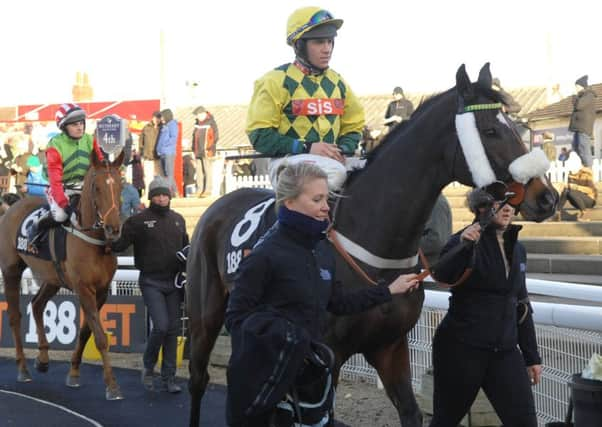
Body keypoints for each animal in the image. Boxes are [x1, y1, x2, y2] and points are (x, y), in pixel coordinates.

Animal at [0, 148, 123, 402]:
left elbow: (86, 331)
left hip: (52, 278)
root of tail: (14, 205)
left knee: (37, 304)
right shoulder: (84, 288)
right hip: (11, 270)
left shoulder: (102, 291)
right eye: (96, 187)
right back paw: (23, 369)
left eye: (120, 185)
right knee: (15, 317)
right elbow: (100, 337)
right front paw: (112, 385)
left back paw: (43, 359)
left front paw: (74, 373)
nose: (113, 228)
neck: (93, 241)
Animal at [185, 61, 556, 426]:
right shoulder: (327, 358)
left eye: (517, 127)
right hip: (206, 313)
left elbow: (410, 412)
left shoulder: (390, 346)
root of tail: (216, 205)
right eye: (491, 131)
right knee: (198, 378)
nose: (546, 197)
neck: (378, 247)